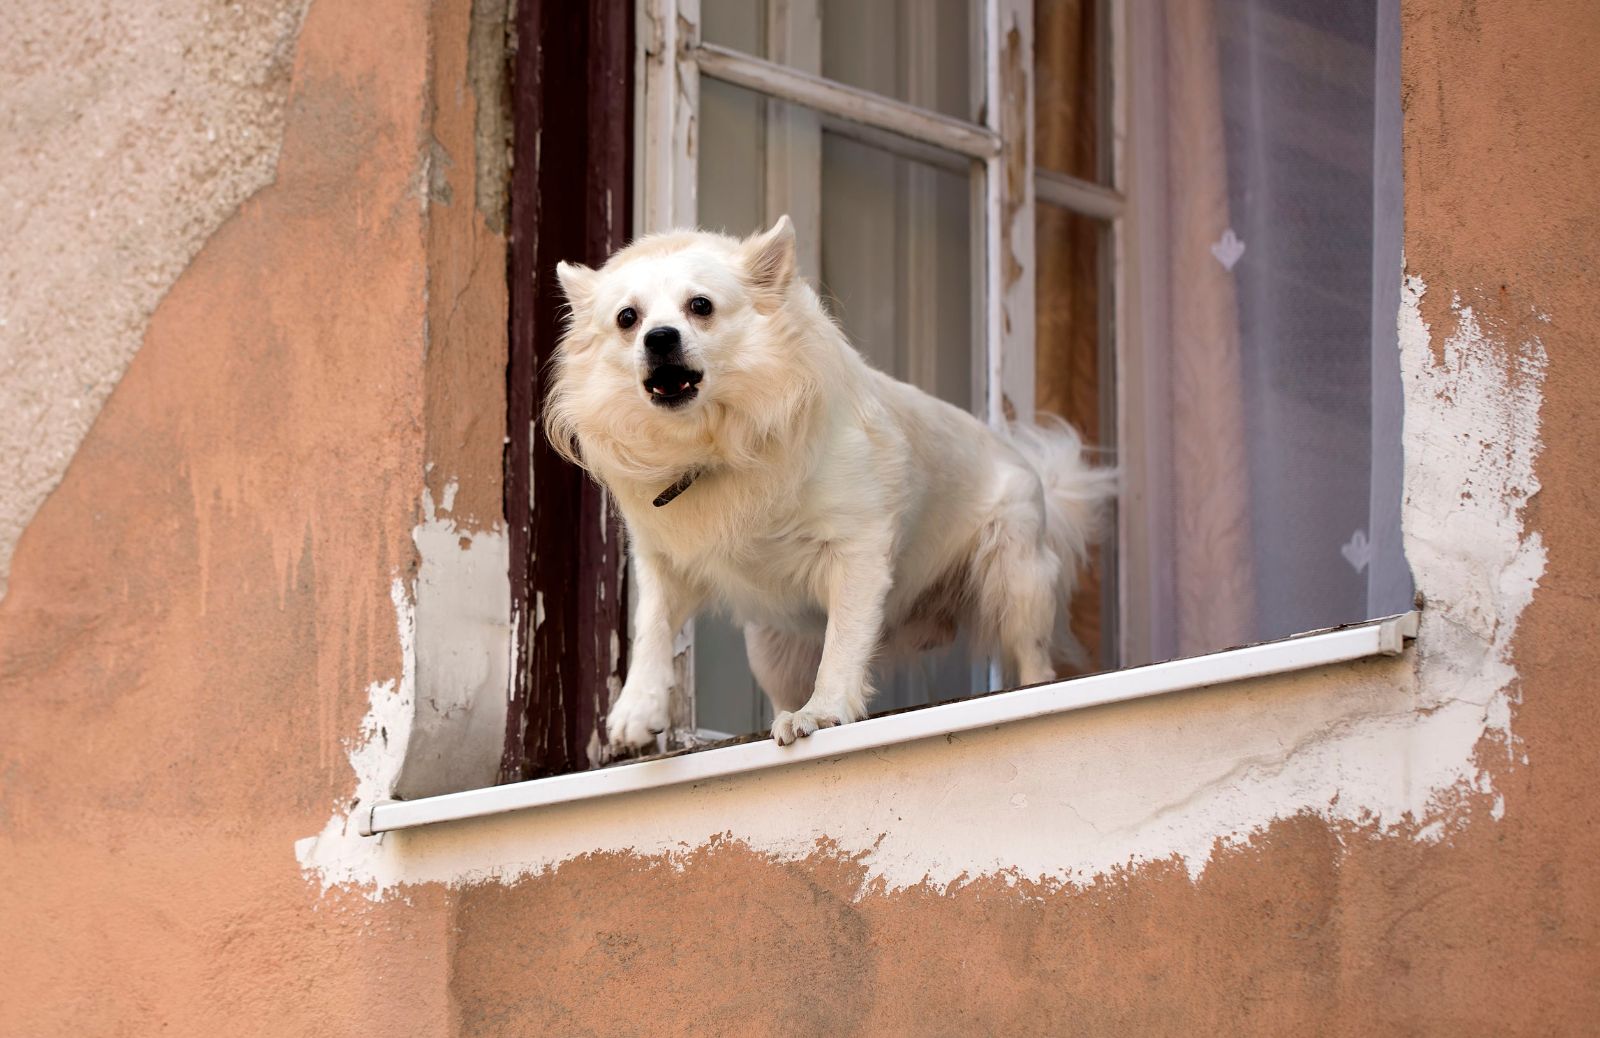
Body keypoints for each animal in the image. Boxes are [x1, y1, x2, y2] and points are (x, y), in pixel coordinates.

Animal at [550, 219, 1113, 748]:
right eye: (628, 319)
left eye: (700, 306)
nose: (660, 337)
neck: (714, 444)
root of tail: (1028, 465)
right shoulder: (663, 561)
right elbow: (652, 628)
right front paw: (637, 709)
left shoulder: (858, 551)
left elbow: (843, 642)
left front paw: (823, 711)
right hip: (770, 646)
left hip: (1015, 578)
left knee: (1034, 659)